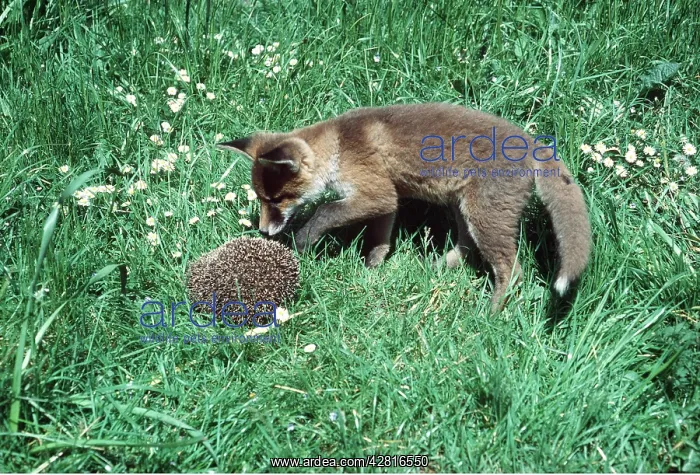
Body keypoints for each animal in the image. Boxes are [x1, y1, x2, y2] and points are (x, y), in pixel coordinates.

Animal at [217, 102, 591, 312]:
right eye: (260, 197)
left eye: (275, 199)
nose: (264, 231)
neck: (338, 148)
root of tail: (531, 144)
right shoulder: (388, 199)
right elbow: (380, 240)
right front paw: (372, 271)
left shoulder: (377, 193)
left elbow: (323, 214)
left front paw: (302, 242)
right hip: (463, 210)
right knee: (466, 251)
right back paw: (436, 267)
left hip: (484, 218)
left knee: (512, 272)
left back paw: (490, 315)